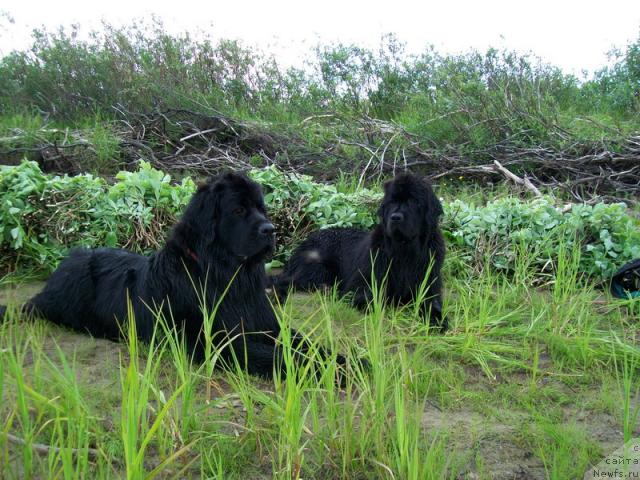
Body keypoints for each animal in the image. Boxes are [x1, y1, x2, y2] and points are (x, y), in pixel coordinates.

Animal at [0, 172, 348, 378]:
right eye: (238, 210)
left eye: (262, 209)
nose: (270, 230)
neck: (227, 277)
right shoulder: (214, 342)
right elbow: (275, 356)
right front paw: (330, 371)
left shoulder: (265, 325)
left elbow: (307, 344)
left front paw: (347, 361)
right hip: (72, 285)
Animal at [272, 173, 448, 330]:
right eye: (391, 202)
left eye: (413, 201)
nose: (395, 217)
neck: (404, 251)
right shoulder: (363, 285)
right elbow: (370, 300)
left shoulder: (429, 286)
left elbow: (432, 305)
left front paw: (437, 320)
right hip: (318, 268)